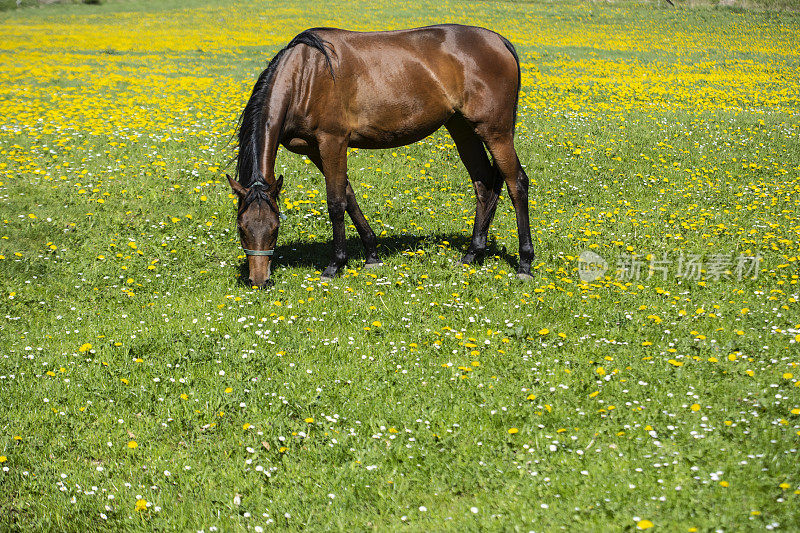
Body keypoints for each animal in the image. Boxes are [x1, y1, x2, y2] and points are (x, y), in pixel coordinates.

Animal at [228, 23, 536, 286]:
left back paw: (525, 263)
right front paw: (372, 254)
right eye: (242, 228)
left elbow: (336, 202)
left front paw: (335, 264)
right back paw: (473, 253)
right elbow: (349, 195)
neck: (306, 74)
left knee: (516, 183)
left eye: (274, 229)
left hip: (495, 131)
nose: (259, 281)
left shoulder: (332, 142)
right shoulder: (315, 149)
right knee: (484, 184)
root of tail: (498, 41)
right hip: (462, 128)